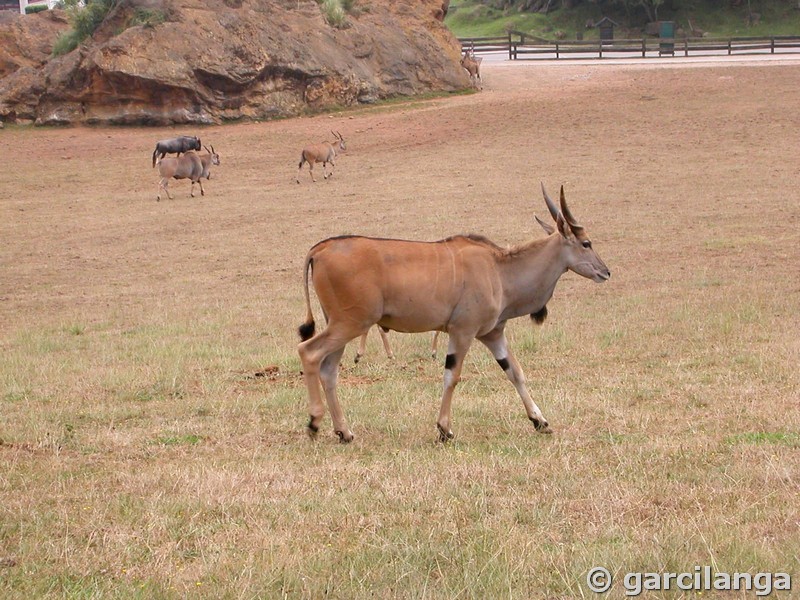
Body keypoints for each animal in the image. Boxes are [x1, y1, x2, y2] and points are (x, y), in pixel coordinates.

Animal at [296, 185, 608, 442]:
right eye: (587, 243)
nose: (605, 272)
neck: (500, 270)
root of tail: (321, 249)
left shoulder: (493, 334)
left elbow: (515, 372)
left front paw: (540, 421)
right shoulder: (463, 331)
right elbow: (452, 375)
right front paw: (444, 429)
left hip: (342, 324)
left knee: (329, 370)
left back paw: (344, 432)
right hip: (350, 323)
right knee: (308, 351)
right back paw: (314, 423)